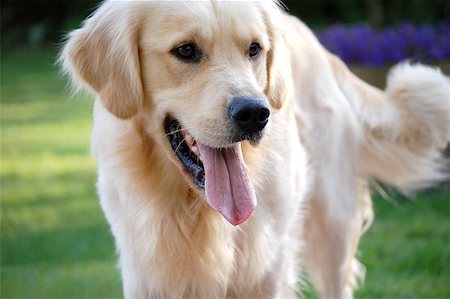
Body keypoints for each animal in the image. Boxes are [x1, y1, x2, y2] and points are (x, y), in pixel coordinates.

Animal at [59, 1, 450, 298]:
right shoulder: (148, 272)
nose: (254, 114)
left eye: (253, 49)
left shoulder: (267, 271)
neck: (198, 211)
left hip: (332, 228)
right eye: (185, 50)